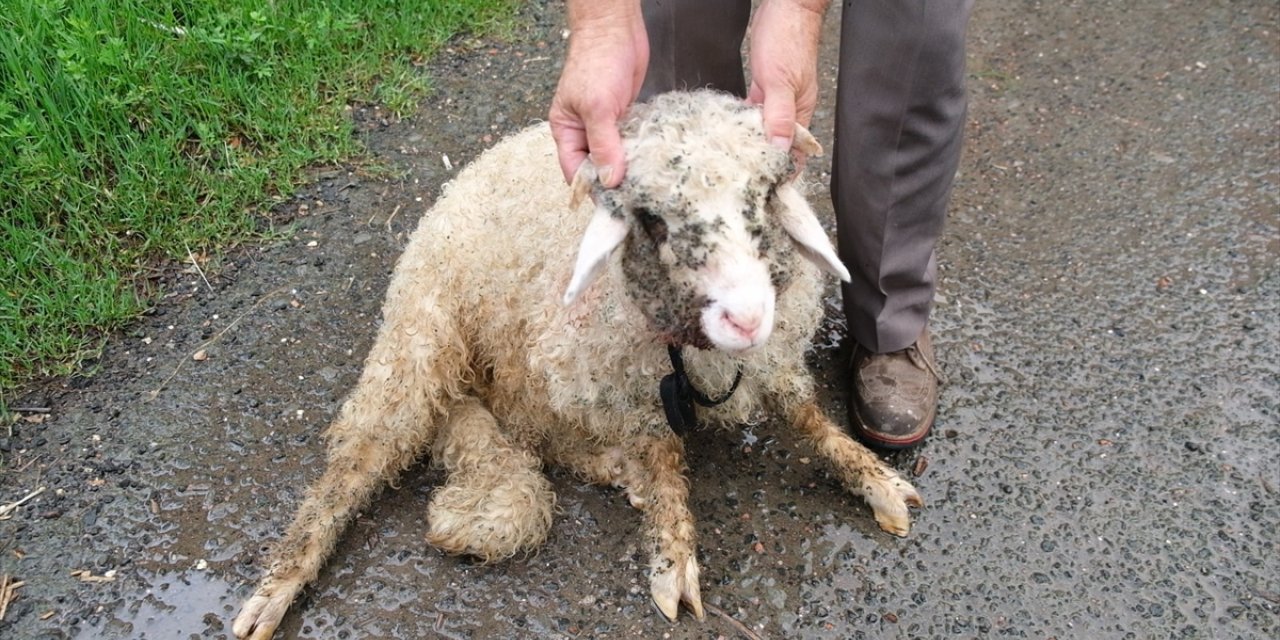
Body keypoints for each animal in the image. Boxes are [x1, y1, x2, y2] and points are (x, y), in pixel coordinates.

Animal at [232, 91, 921, 640]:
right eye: (651, 218)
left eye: (766, 193)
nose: (748, 317)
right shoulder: (623, 383)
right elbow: (664, 460)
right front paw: (672, 556)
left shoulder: (769, 361)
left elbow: (807, 416)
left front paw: (873, 478)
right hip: (423, 339)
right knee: (361, 459)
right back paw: (277, 587)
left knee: (523, 426)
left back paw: (607, 466)